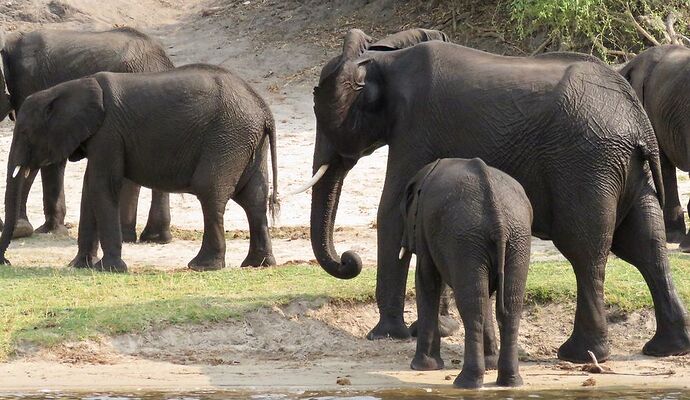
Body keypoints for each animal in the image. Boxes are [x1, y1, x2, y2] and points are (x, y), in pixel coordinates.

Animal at [1, 65, 280, 272]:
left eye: (24, 133)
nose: (6, 262)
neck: (68, 88)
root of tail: (264, 108)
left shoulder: (109, 132)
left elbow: (102, 186)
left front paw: (110, 269)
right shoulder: (101, 137)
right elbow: (90, 188)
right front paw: (79, 266)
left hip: (227, 137)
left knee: (210, 191)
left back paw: (202, 266)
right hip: (247, 141)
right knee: (253, 198)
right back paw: (258, 264)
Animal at [398, 158, 532, 390]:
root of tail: (499, 221)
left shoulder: (423, 226)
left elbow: (427, 280)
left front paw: (423, 367)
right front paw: (490, 364)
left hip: (466, 240)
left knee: (472, 306)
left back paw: (466, 383)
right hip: (516, 239)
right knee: (508, 305)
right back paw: (510, 382)